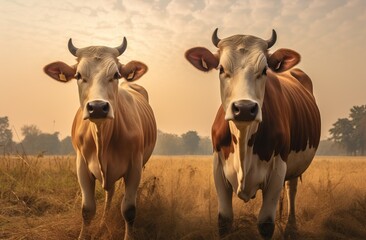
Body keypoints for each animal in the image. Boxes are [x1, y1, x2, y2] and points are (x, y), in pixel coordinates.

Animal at [43, 38, 157, 239]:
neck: (102, 137)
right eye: (78, 75)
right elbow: (88, 210)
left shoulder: (135, 167)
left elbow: (129, 210)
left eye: (116, 74)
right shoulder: (81, 165)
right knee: (109, 193)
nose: (97, 107)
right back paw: (103, 225)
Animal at [186, 29, 320, 238]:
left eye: (264, 70)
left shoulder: (278, 169)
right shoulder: (218, 168)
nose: (244, 108)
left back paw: (290, 227)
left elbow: (266, 224)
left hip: (293, 166)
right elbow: (224, 221)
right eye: (221, 69)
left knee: (291, 189)